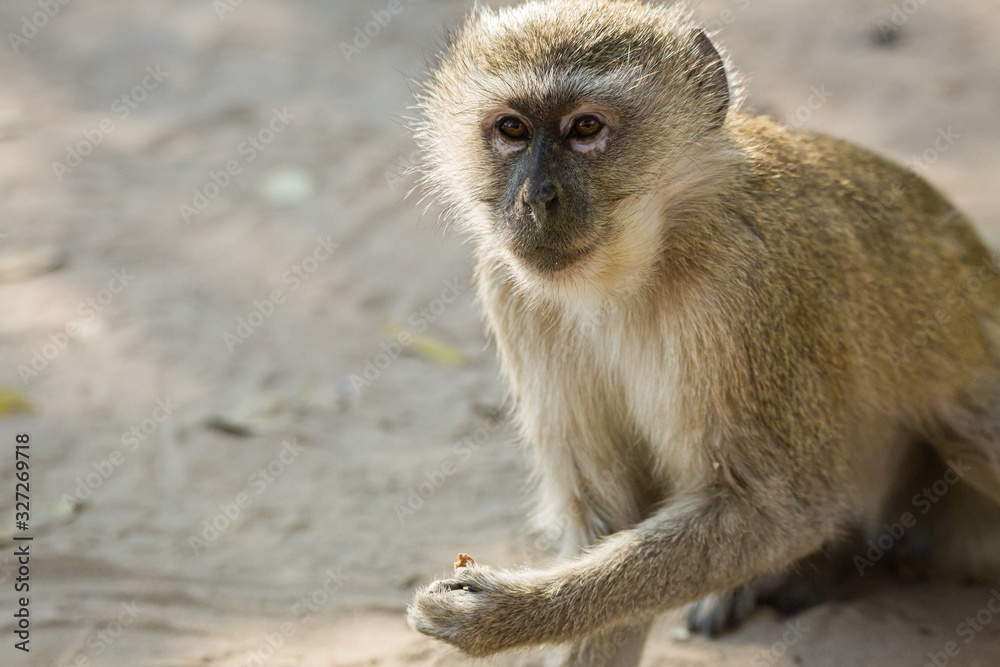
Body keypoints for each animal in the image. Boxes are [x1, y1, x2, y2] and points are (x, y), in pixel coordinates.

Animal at [404, 0, 1000, 664]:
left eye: (585, 128)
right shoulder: (509, 287)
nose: (537, 199)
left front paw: (506, 616)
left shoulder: (746, 285)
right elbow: (612, 516)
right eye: (512, 130)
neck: (649, 252)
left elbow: (779, 512)